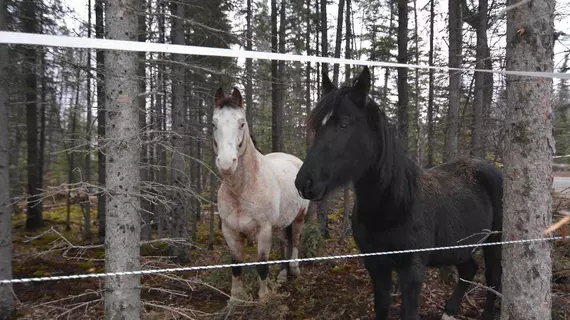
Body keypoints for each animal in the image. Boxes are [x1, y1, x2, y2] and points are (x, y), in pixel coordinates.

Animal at [211, 87, 308, 300]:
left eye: (242, 123)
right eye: (214, 124)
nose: (226, 164)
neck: (242, 191)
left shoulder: (263, 231)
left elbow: (262, 267)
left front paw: (264, 298)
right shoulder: (230, 232)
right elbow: (236, 266)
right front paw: (236, 298)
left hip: (299, 216)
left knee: (296, 239)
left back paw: (295, 270)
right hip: (280, 223)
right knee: (284, 241)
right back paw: (282, 274)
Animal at [292, 66, 502, 318]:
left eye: (344, 124)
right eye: (317, 127)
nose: (304, 183)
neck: (394, 205)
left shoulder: (411, 270)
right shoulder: (376, 266)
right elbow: (382, 307)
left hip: (494, 242)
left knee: (493, 278)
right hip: (459, 247)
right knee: (469, 270)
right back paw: (449, 312)